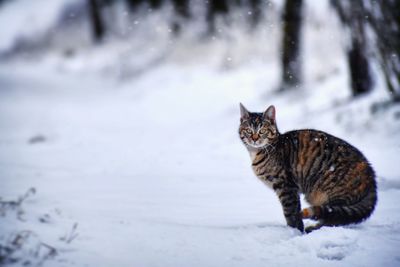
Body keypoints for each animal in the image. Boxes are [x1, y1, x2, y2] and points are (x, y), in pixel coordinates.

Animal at [239, 103, 376, 233]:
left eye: (262, 131)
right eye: (248, 130)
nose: (254, 138)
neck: (257, 152)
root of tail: (370, 173)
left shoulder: (286, 187)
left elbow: (291, 213)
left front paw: (294, 231)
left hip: (332, 194)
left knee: (333, 217)